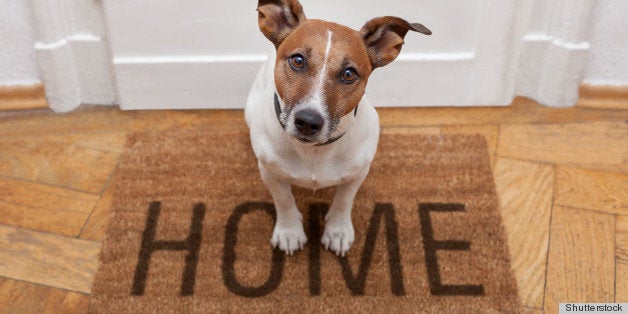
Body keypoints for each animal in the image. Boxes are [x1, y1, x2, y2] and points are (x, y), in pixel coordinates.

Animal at [245, 0, 432, 255]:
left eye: (349, 74)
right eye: (297, 60)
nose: (308, 121)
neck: (315, 151)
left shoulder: (358, 173)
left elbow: (344, 201)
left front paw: (338, 231)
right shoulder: (270, 172)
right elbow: (284, 200)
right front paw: (289, 231)